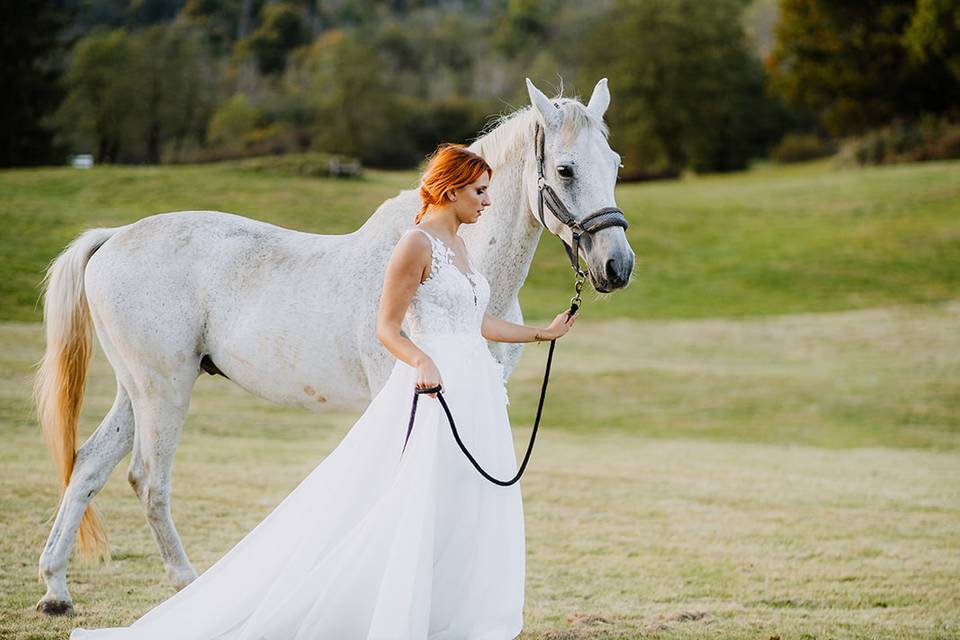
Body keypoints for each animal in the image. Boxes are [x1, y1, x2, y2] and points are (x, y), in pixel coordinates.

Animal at [33, 79, 632, 616]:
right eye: (565, 169)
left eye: (615, 163)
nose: (617, 266)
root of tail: (115, 236)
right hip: (165, 389)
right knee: (149, 480)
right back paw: (186, 587)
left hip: (134, 391)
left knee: (87, 468)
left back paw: (56, 590)